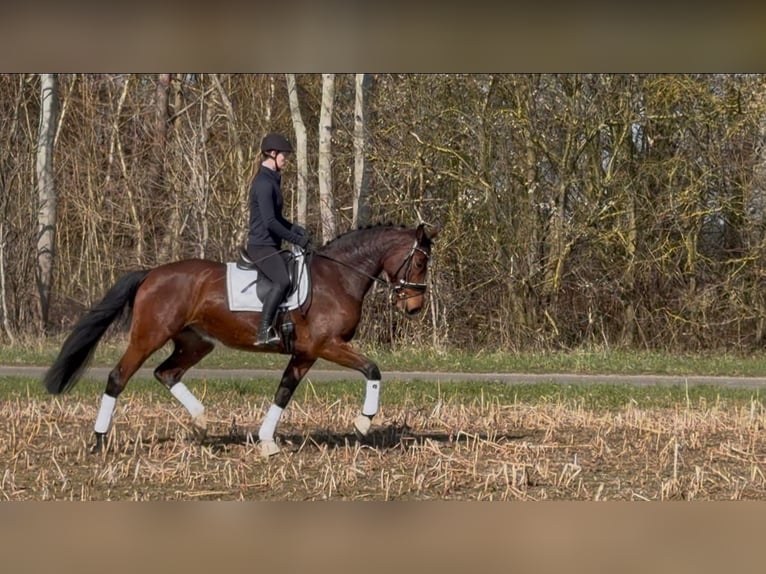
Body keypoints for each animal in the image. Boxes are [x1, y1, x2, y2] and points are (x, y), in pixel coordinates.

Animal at [43, 223, 439, 457]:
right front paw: (363, 422)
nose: (414, 307)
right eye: (420, 263)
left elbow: (283, 393)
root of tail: (151, 274)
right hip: (149, 336)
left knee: (166, 373)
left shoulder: (305, 354)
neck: (338, 276)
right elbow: (373, 370)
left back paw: (201, 422)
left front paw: (266, 441)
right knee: (119, 377)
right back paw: (99, 440)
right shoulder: (327, 345)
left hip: (196, 342)